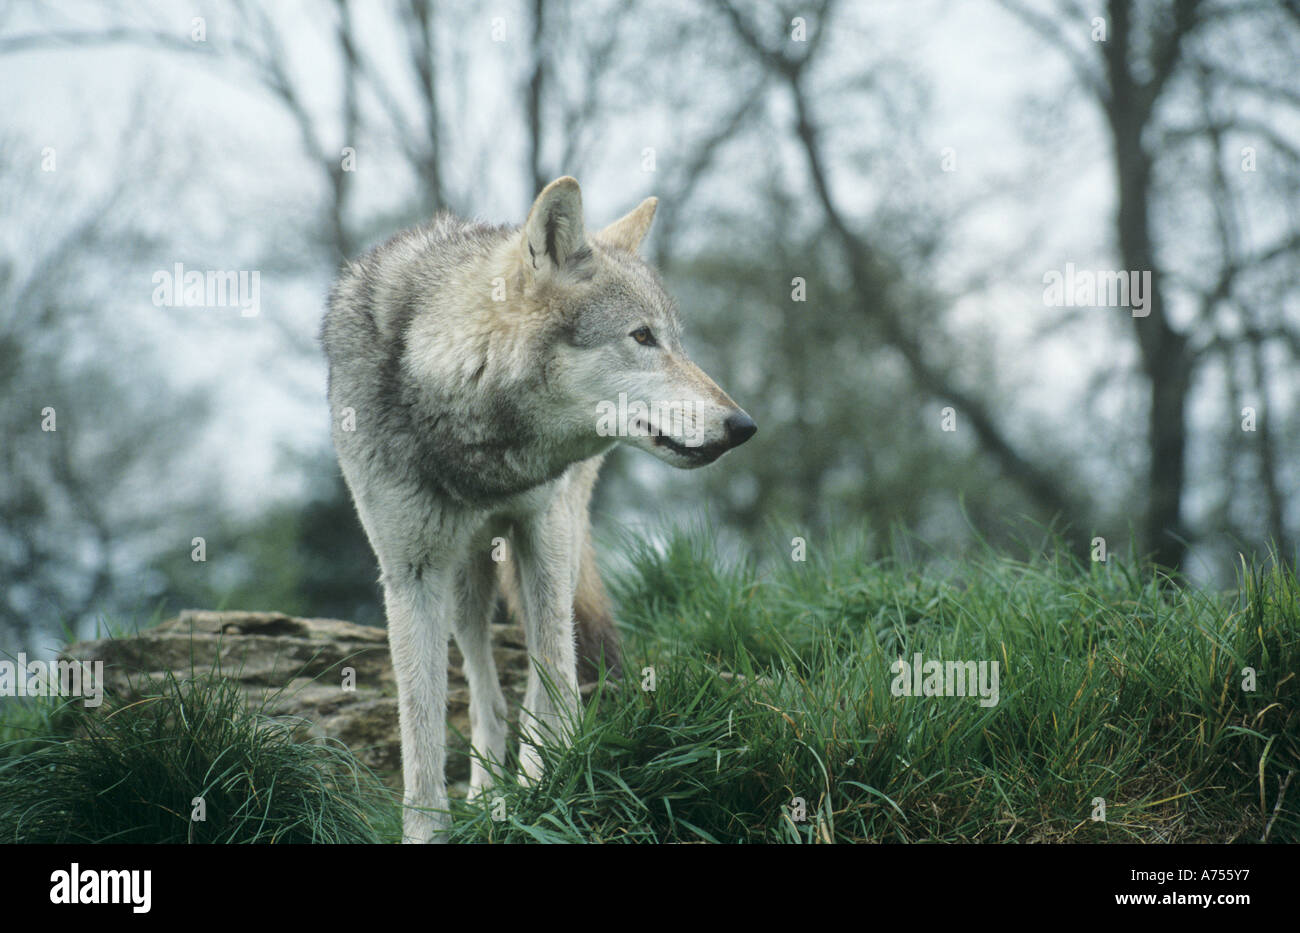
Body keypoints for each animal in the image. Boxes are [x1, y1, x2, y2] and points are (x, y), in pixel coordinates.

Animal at [318, 179, 759, 842]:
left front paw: (553, 785)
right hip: (465, 578)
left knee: (543, 676)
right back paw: (486, 794)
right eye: (642, 337)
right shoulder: (410, 572)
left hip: (553, 543)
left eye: (675, 341)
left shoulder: (543, 527)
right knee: (486, 693)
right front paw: (431, 827)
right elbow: (420, 728)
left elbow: (554, 678)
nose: (743, 426)